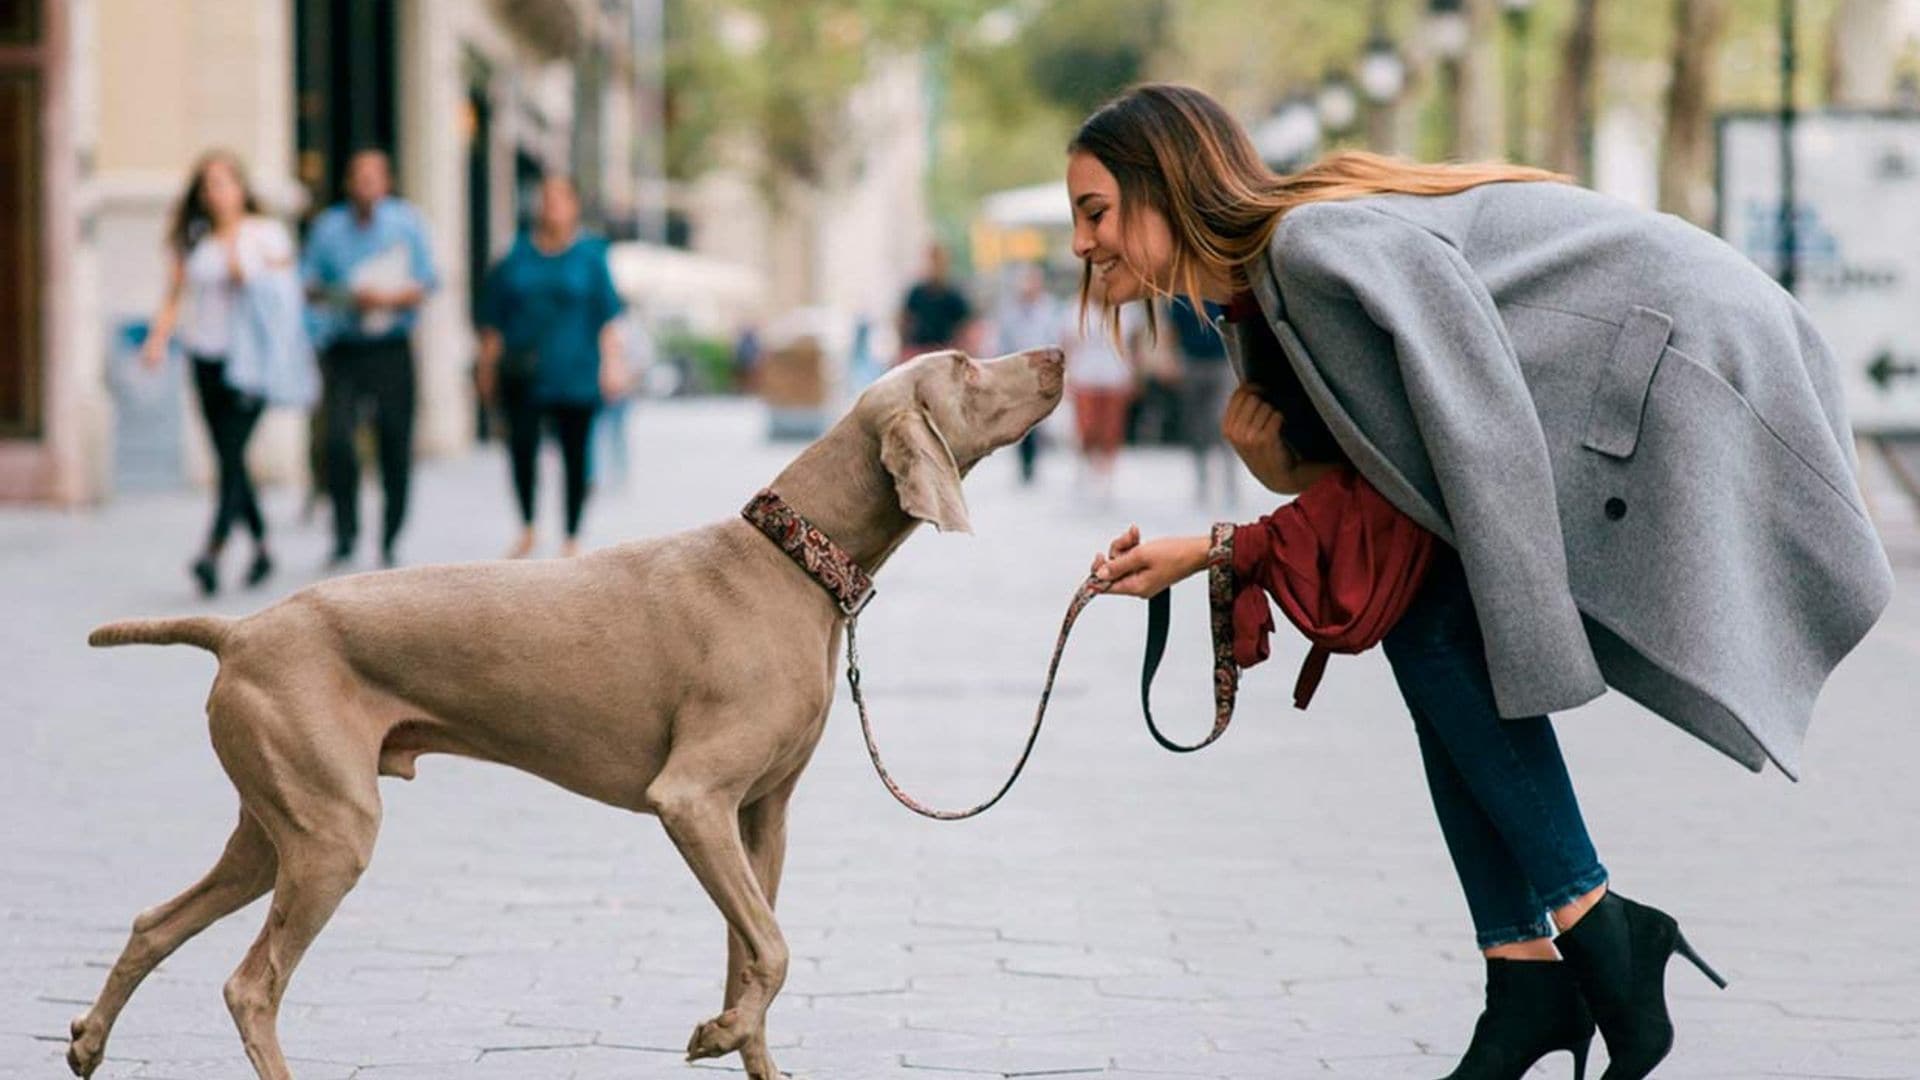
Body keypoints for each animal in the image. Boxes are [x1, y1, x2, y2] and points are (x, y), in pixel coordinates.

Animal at [67, 345, 1067, 1076]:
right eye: (968, 366)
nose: (1058, 352)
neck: (791, 558)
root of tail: (238, 630)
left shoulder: (760, 818)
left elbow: (752, 957)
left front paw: (737, 1040)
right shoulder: (691, 800)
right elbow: (777, 952)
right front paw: (714, 1034)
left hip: (276, 826)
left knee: (154, 922)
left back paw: (86, 1041)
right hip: (332, 833)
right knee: (253, 985)